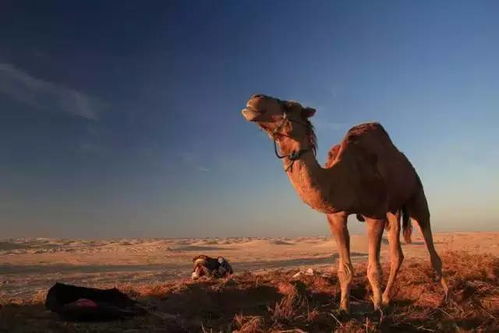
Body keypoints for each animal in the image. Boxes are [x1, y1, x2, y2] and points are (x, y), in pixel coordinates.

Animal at [242, 93, 450, 312]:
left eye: (289, 106)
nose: (254, 99)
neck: (346, 176)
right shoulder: (336, 217)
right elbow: (345, 269)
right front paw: (344, 308)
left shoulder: (375, 214)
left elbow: (373, 269)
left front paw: (377, 308)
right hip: (393, 211)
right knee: (397, 253)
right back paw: (387, 298)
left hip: (416, 194)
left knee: (429, 241)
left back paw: (445, 295)